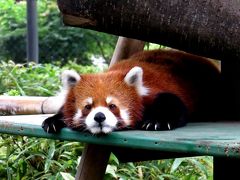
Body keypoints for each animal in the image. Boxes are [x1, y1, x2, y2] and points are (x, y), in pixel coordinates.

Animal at [41, 48, 221, 134]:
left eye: (112, 106)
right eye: (87, 107)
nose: (99, 117)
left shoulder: (155, 91)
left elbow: (173, 103)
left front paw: (157, 121)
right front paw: (54, 120)